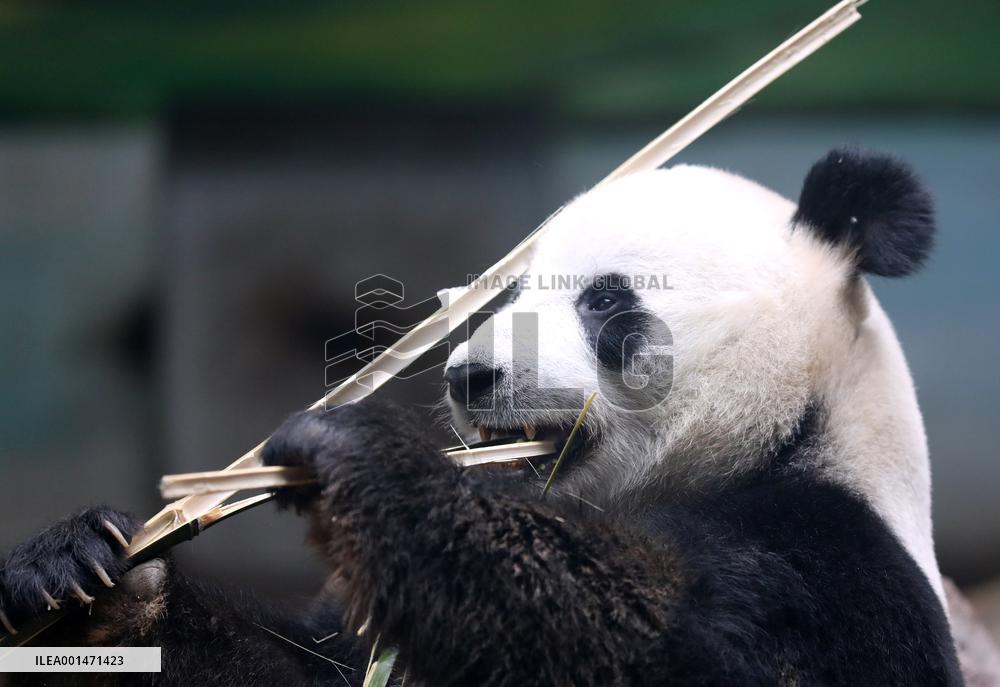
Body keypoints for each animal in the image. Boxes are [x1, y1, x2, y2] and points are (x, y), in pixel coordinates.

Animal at [0, 147, 963, 686]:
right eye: (512, 290)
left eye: (605, 299)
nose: (473, 375)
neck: (792, 430)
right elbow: (306, 666)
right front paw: (91, 577)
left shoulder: (826, 566)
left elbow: (652, 646)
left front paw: (356, 454)